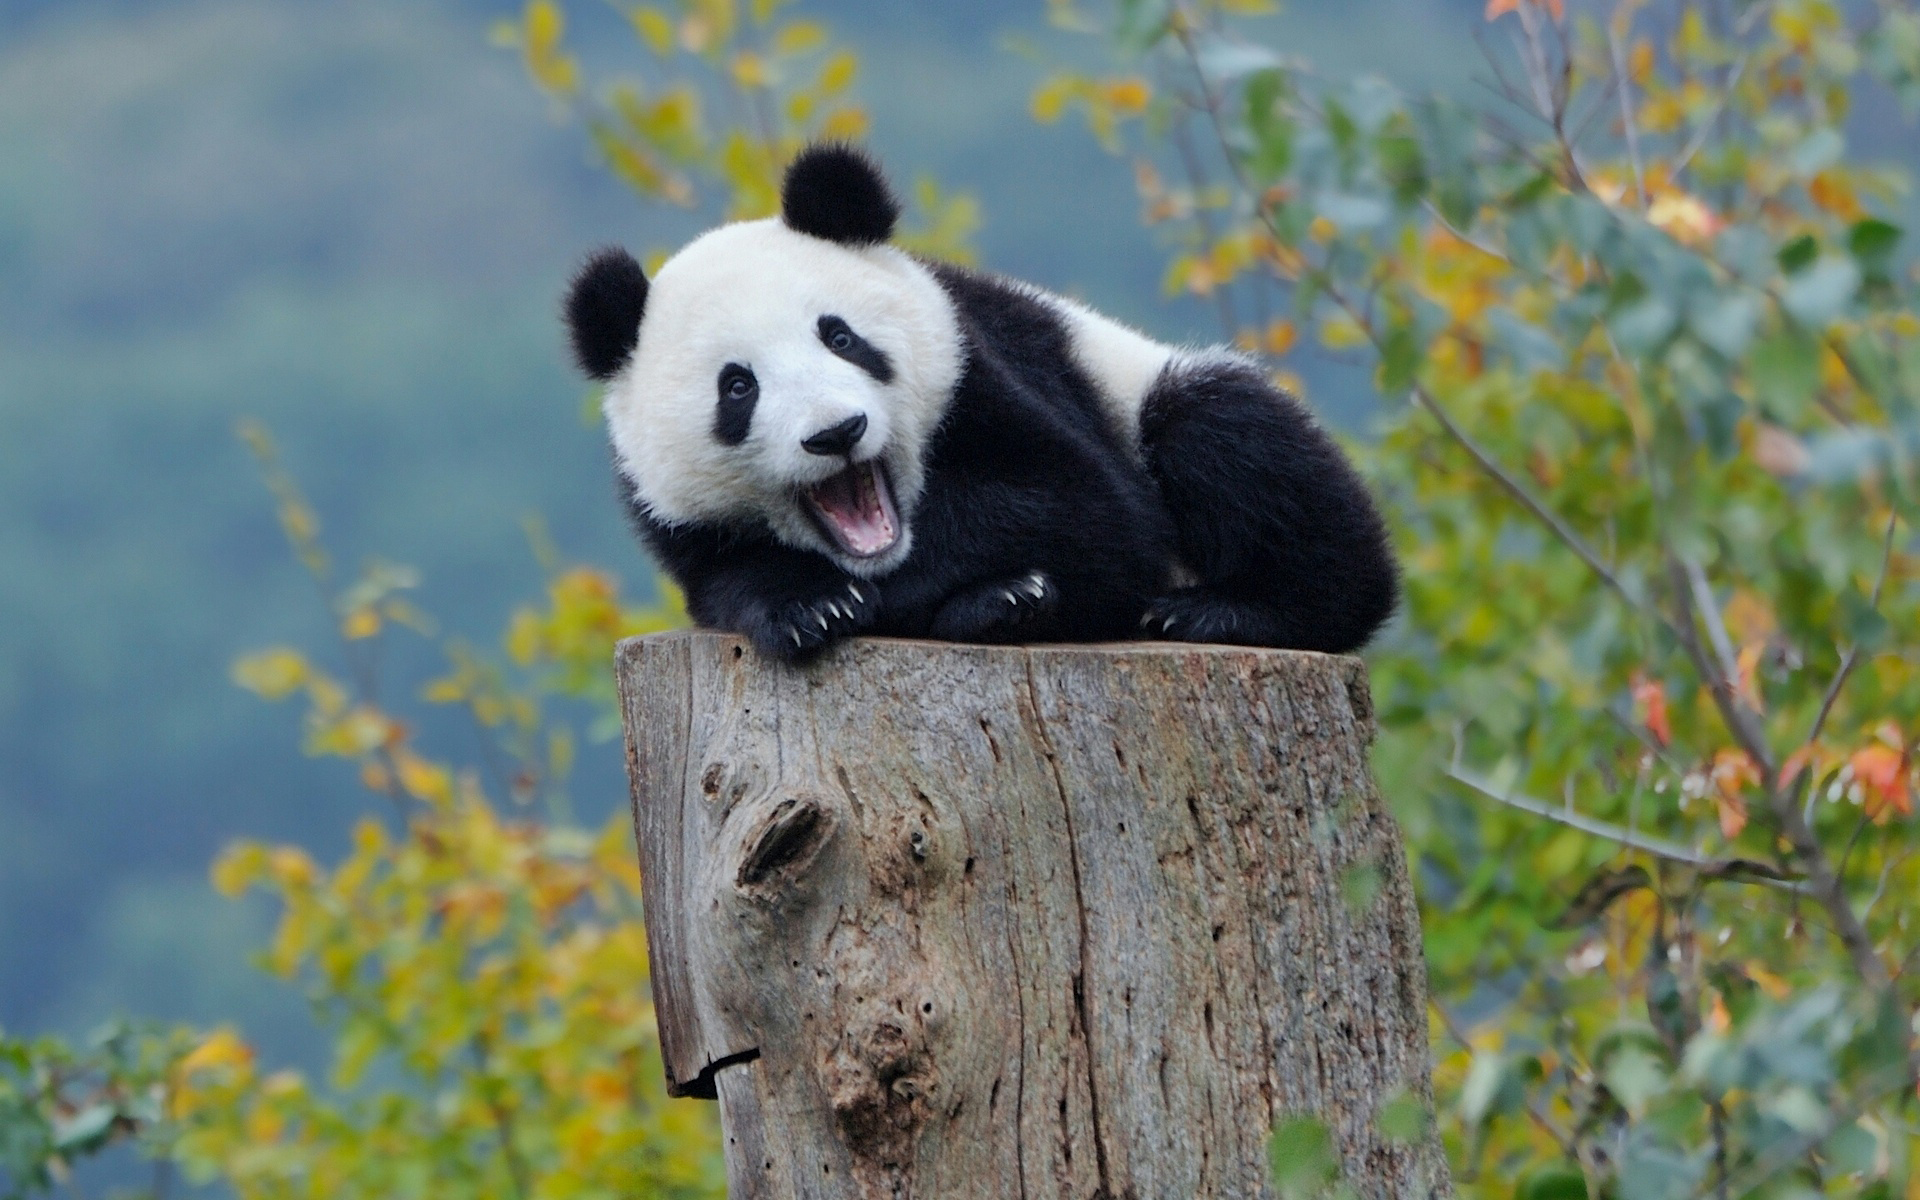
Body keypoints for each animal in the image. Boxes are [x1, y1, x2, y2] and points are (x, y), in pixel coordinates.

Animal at [564, 144, 1397, 664]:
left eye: (841, 336)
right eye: (738, 386)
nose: (837, 432)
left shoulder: (989, 371)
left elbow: (1086, 511)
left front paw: (975, 590)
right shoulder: (676, 520)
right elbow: (727, 582)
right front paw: (811, 608)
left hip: (1144, 389)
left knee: (1228, 437)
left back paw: (1219, 611)